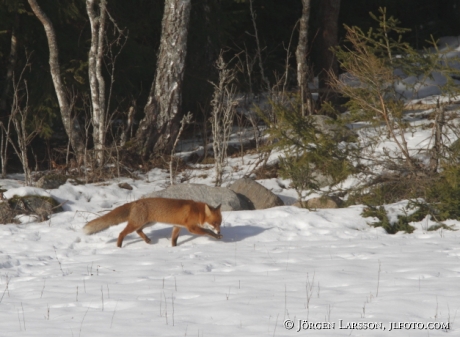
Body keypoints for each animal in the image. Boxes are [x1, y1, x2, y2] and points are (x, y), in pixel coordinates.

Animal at [83, 197, 223, 247]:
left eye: (220, 223)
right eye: (215, 223)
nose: (219, 231)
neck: (198, 212)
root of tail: (136, 201)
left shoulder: (177, 226)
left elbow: (174, 240)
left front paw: (174, 248)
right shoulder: (191, 228)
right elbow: (207, 231)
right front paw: (216, 236)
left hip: (147, 223)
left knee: (139, 231)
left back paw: (147, 240)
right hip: (137, 223)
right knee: (122, 233)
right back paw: (119, 246)